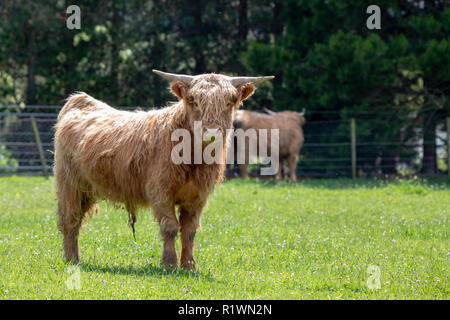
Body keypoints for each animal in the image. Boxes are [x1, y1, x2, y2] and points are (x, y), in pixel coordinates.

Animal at [54, 70, 272, 270]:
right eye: (193, 100)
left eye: (230, 101)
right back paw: (72, 260)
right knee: (70, 221)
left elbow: (189, 231)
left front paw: (189, 264)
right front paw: (169, 263)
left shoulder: (197, 197)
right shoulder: (160, 191)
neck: (193, 159)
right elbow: (170, 227)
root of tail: (81, 100)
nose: (211, 131)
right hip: (70, 185)